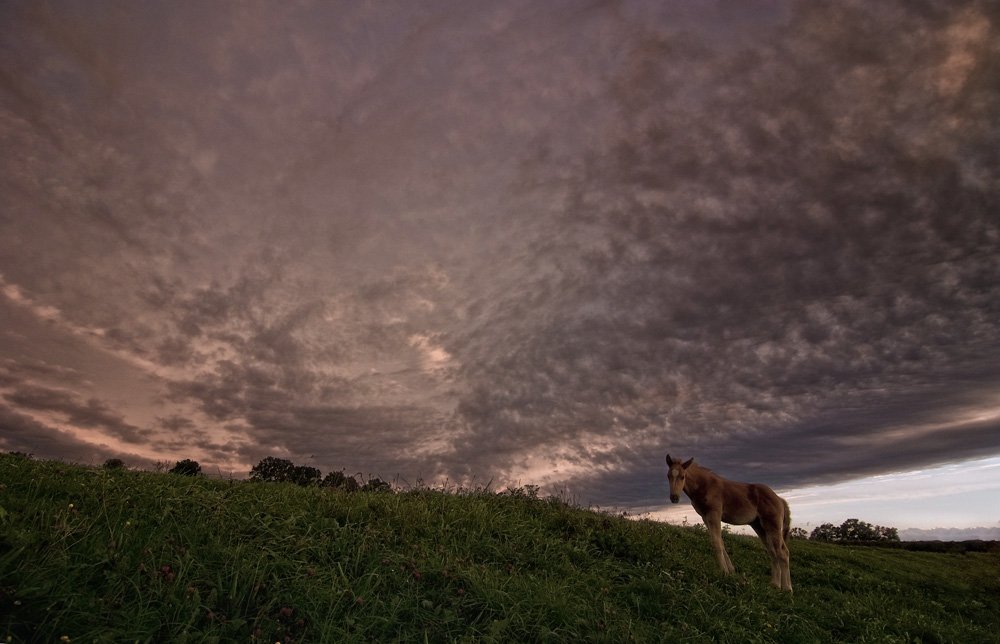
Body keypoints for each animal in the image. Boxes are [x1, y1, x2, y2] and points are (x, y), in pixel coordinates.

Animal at [668, 456, 792, 592]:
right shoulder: (705, 517)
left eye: (683, 476)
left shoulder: (714, 514)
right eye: (668, 476)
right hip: (759, 527)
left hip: (772, 526)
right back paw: (775, 585)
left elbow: (716, 543)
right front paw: (730, 570)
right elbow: (721, 542)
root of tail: (779, 499)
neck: (704, 485)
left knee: (783, 553)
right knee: (772, 552)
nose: (674, 498)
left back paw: (787, 589)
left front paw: (723, 572)